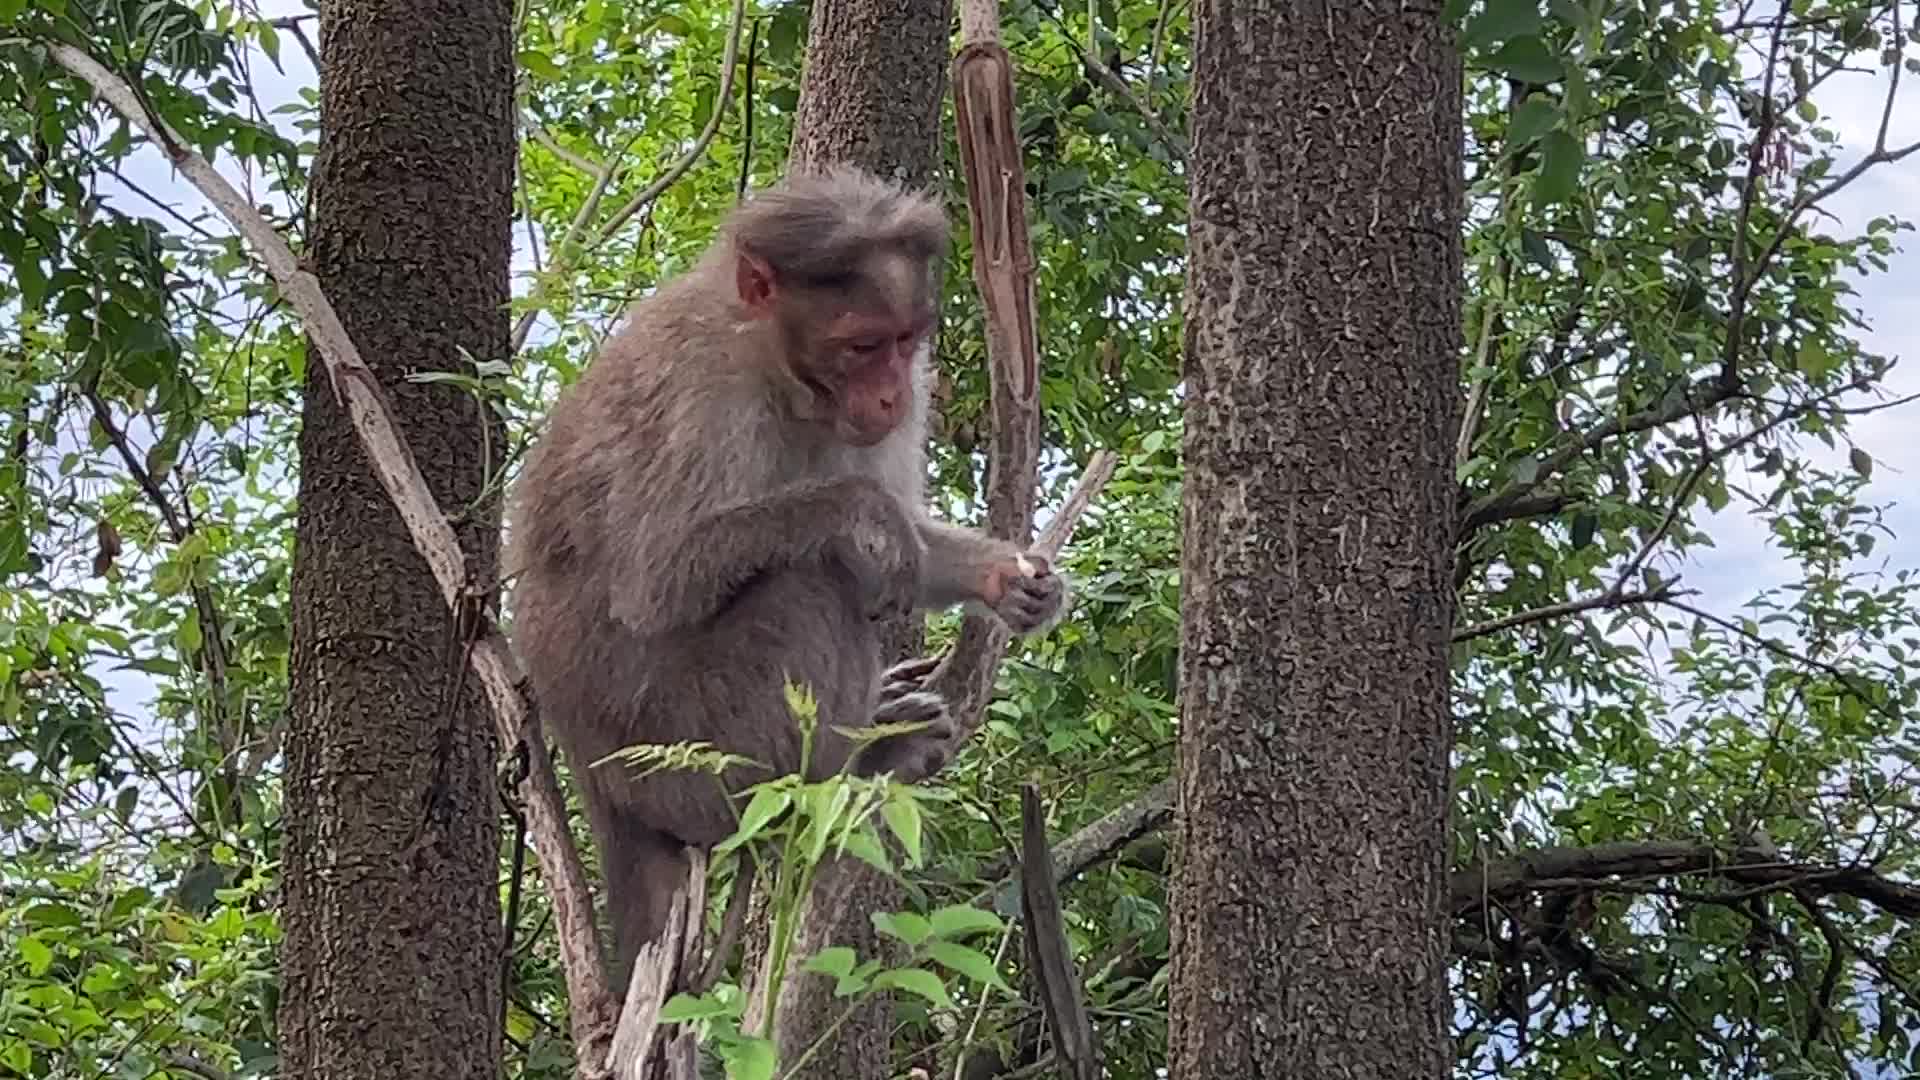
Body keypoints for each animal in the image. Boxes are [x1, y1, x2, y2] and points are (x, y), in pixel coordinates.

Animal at [505, 164, 1068, 989]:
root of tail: (597, 784)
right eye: (861, 345)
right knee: (807, 586)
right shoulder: (703, 391)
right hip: (682, 758)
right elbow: (652, 580)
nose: (893, 394)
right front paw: (861, 513)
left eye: (903, 342)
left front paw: (1011, 581)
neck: (784, 375)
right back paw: (849, 765)